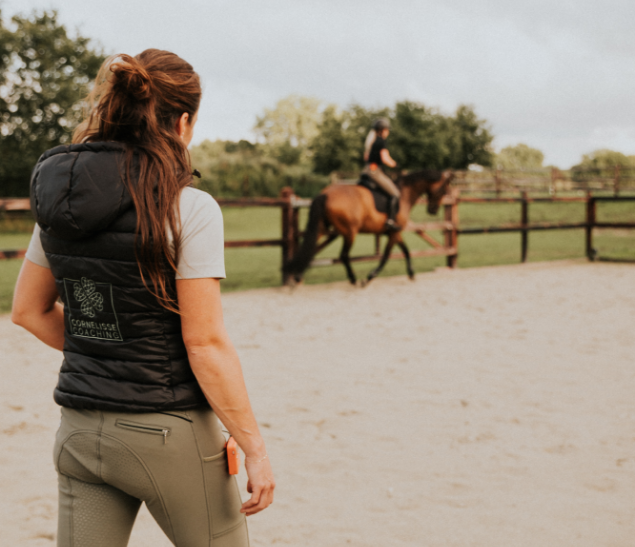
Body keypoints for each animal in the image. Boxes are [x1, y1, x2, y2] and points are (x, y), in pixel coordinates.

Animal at [286, 169, 454, 284]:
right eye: (443, 190)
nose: (433, 210)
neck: (403, 195)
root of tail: (326, 194)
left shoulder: (395, 233)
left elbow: (406, 251)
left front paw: (411, 273)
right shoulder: (393, 234)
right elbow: (386, 255)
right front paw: (370, 276)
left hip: (323, 227)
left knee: (311, 248)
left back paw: (297, 275)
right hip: (349, 232)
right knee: (343, 255)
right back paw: (353, 279)